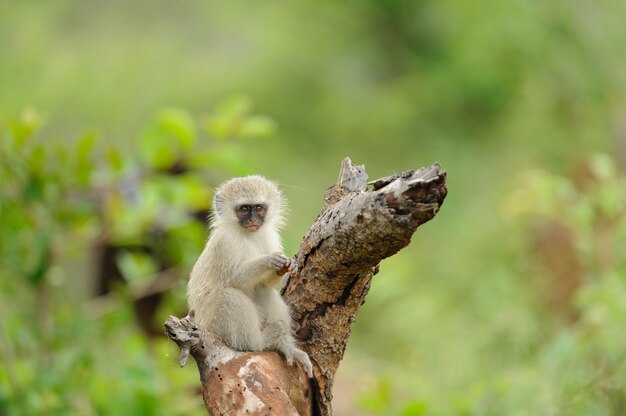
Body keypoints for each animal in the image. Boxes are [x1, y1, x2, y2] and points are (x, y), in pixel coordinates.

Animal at [185, 175, 312, 376]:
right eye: (244, 209)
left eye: (259, 207)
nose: (253, 219)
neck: (248, 235)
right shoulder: (224, 242)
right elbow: (234, 277)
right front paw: (269, 260)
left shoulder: (271, 236)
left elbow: (266, 283)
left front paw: (286, 266)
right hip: (216, 327)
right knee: (230, 295)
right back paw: (259, 342)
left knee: (263, 290)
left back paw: (285, 345)